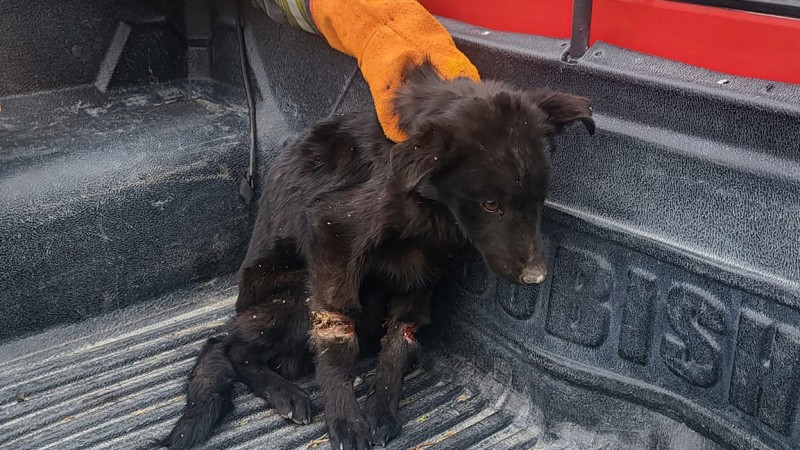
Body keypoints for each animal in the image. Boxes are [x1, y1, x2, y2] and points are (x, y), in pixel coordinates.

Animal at [159, 60, 592, 450]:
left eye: (539, 199)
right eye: (490, 204)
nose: (536, 277)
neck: (430, 202)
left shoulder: (423, 270)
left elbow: (400, 338)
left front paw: (382, 406)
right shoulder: (334, 232)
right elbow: (337, 340)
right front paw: (345, 420)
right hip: (295, 293)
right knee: (224, 346)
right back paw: (285, 392)